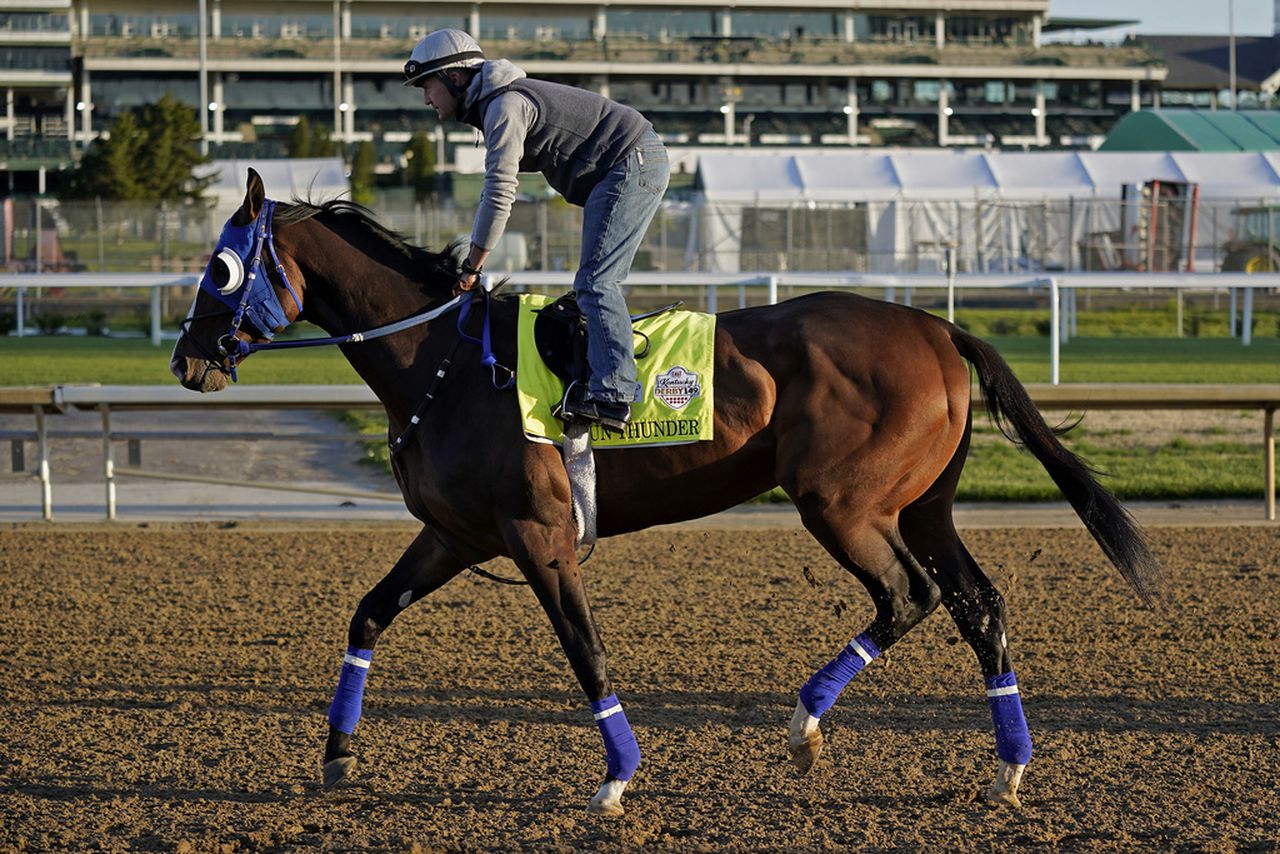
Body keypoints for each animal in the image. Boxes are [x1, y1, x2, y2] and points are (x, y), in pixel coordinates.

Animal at [175, 170, 1167, 819]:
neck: (444, 362)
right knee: (977, 603)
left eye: (220, 268)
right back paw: (1008, 768)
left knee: (909, 595)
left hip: (841, 503)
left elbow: (585, 651)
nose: (187, 360)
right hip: (922, 505)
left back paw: (805, 727)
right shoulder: (456, 535)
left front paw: (617, 776)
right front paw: (338, 756)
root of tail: (934, 323)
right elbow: (369, 613)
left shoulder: (539, 536)